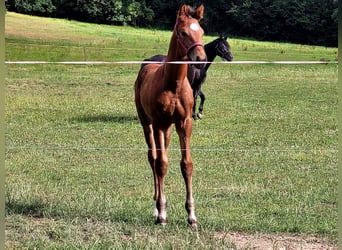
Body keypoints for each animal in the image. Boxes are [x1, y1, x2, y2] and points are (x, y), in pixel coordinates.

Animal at [135, 3, 207, 228]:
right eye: (183, 33)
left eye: (202, 31)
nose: (201, 59)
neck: (173, 85)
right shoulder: (158, 123)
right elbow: (161, 163)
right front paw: (162, 213)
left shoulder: (184, 123)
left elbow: (186, 165)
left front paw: (191, 215)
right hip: (147, 123)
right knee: (153, 158)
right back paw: (156, 205)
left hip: (167, 129)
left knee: (161, 154)